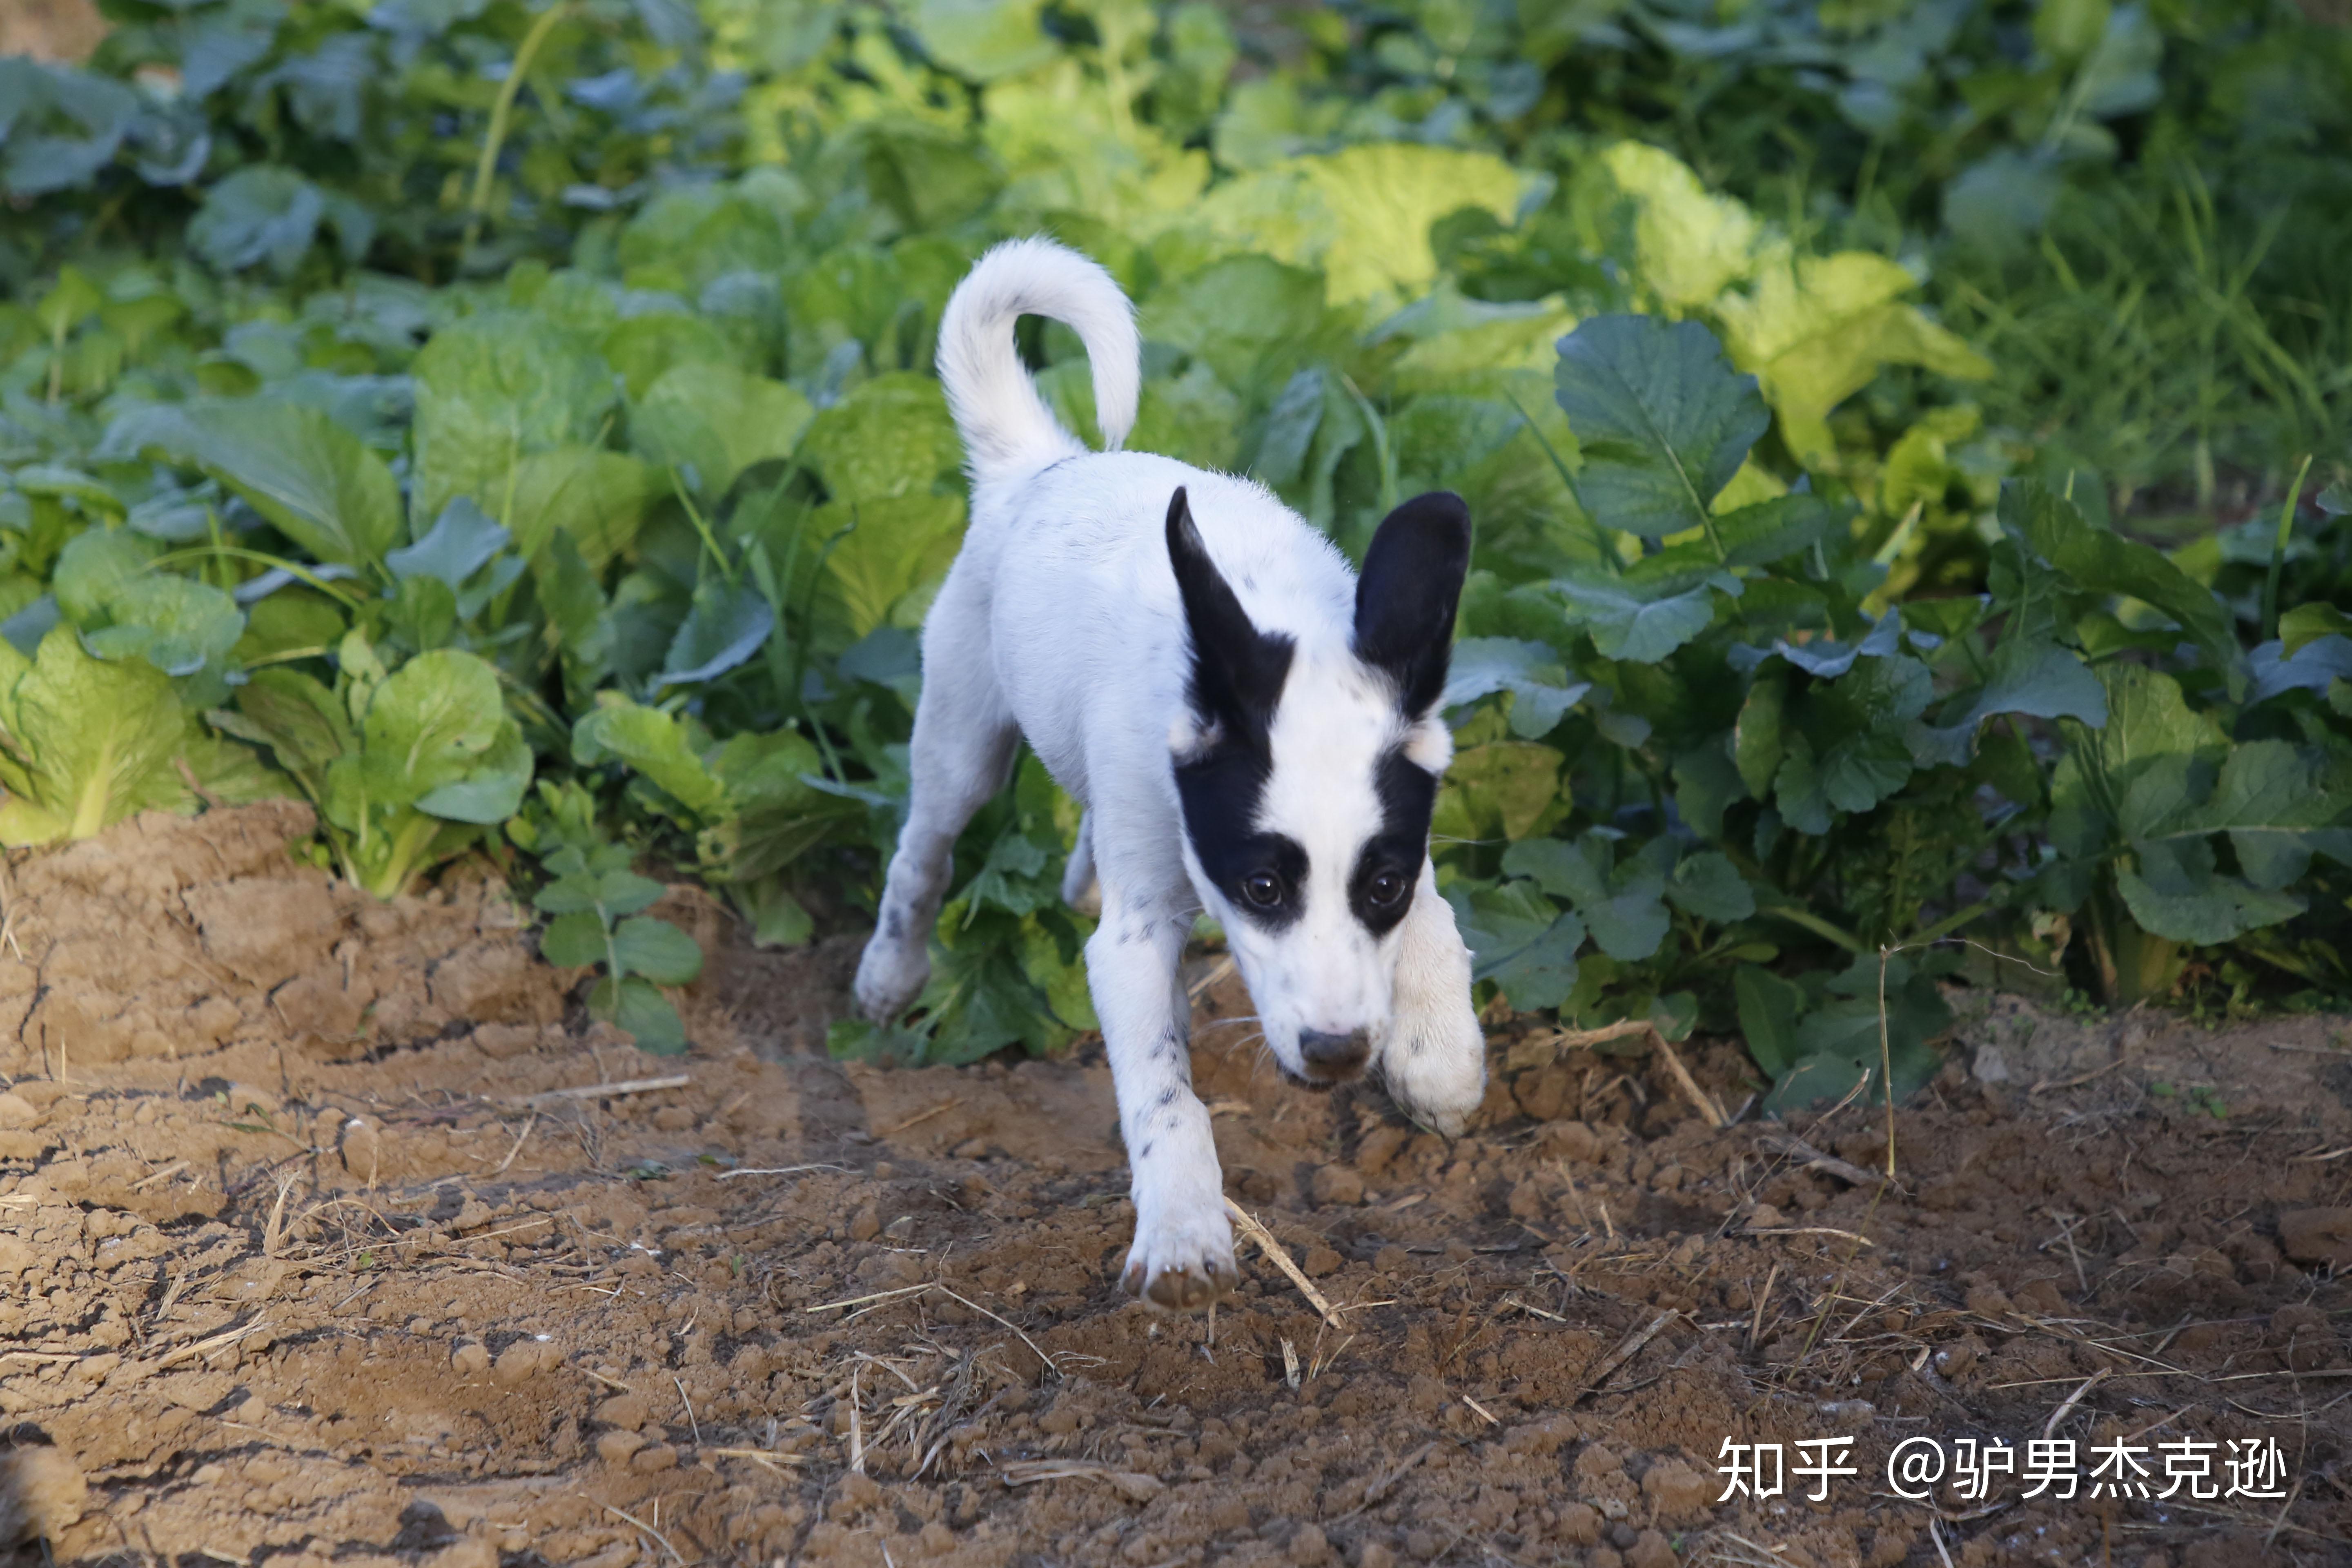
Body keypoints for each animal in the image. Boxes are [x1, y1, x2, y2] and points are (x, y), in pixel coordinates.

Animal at [856, 236, 1486, 1316]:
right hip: (961, 734)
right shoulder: (1136, 939)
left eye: (1382, 885)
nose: (1337, 1056)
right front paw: (1185, 1232)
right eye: (1261, 887)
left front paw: (1436, 1056)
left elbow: (1436, 920)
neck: (1276, 620)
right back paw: (889, 973)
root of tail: (1044, 463)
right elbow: (1165, 1096)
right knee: (920, 853)